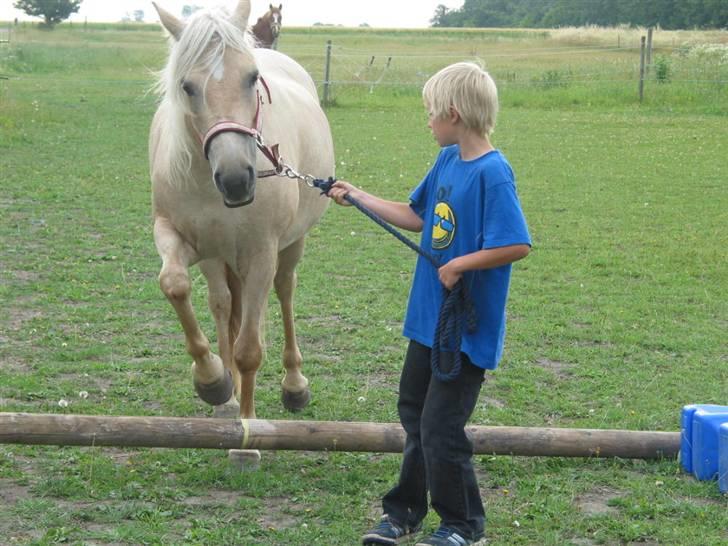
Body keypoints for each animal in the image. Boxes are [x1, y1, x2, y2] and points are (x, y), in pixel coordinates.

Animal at [149, 1, 333, 427]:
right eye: (186, 86)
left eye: (252, 78)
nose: (236, 179)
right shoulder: (178, 236)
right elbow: (175, 284)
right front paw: (213, 381)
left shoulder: (262, 253)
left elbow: (249, 349)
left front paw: (248, 426)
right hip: (218, 259)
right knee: (222, 304)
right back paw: (226, 394)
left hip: (291, 245)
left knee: (283, 292)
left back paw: (294, 385)